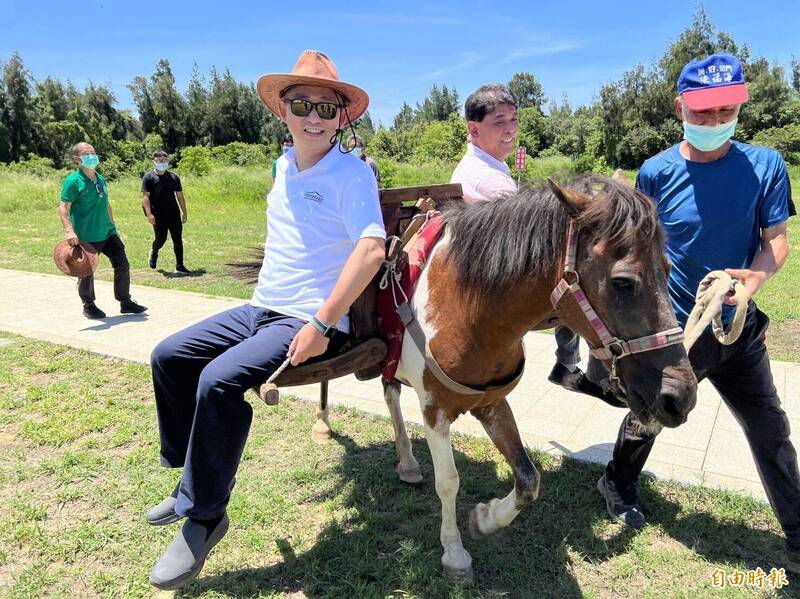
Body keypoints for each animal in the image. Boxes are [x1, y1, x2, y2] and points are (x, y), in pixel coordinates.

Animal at [382, 177, 700, 580]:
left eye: (668, 269)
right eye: (623, 283)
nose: (680, 396)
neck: (463, 306)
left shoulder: (490, 402)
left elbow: (529, 480)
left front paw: (484, 519)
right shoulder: (435, 410)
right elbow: (448, 481)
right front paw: (454, 552)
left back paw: (407, 463)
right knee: (390, 398)